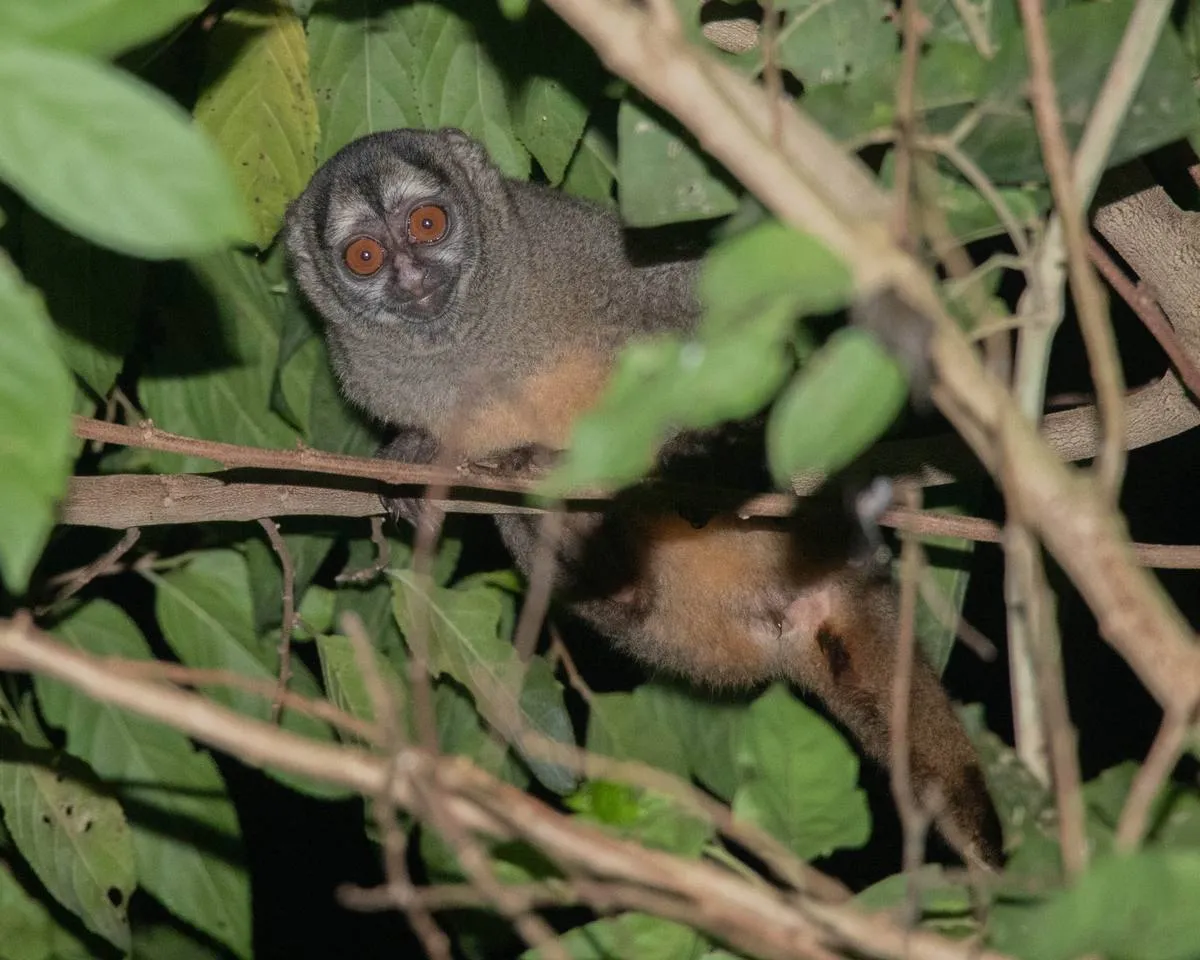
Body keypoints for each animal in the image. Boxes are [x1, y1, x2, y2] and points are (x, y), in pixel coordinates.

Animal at [283, 126, 1003, 869]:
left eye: (428, 224)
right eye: (364, 257)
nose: (410, 277)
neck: (467, 342)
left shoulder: (573, 245)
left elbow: (706, 304)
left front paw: (711, 441)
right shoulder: (368, 371)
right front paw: (412, 462)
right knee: (586, 571)